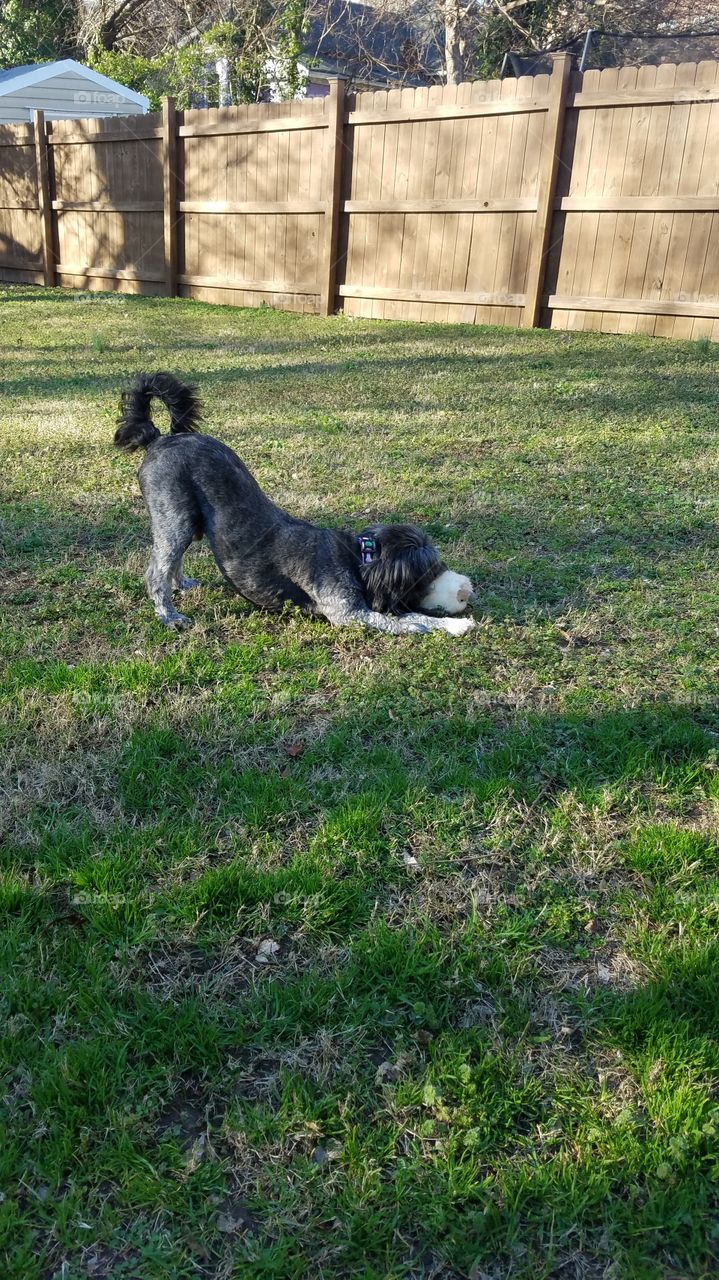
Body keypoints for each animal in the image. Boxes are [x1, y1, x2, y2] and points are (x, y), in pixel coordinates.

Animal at [113, 373, 475, 637]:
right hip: (173, 517)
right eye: (430, 572)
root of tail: (160, 438)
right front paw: (453, 625)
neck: (360, 558)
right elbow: (408, 620)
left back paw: (182, 584)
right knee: (156, 571)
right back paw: (169, 615)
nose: (465, 593)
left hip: (187, 521)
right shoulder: (349, 614)